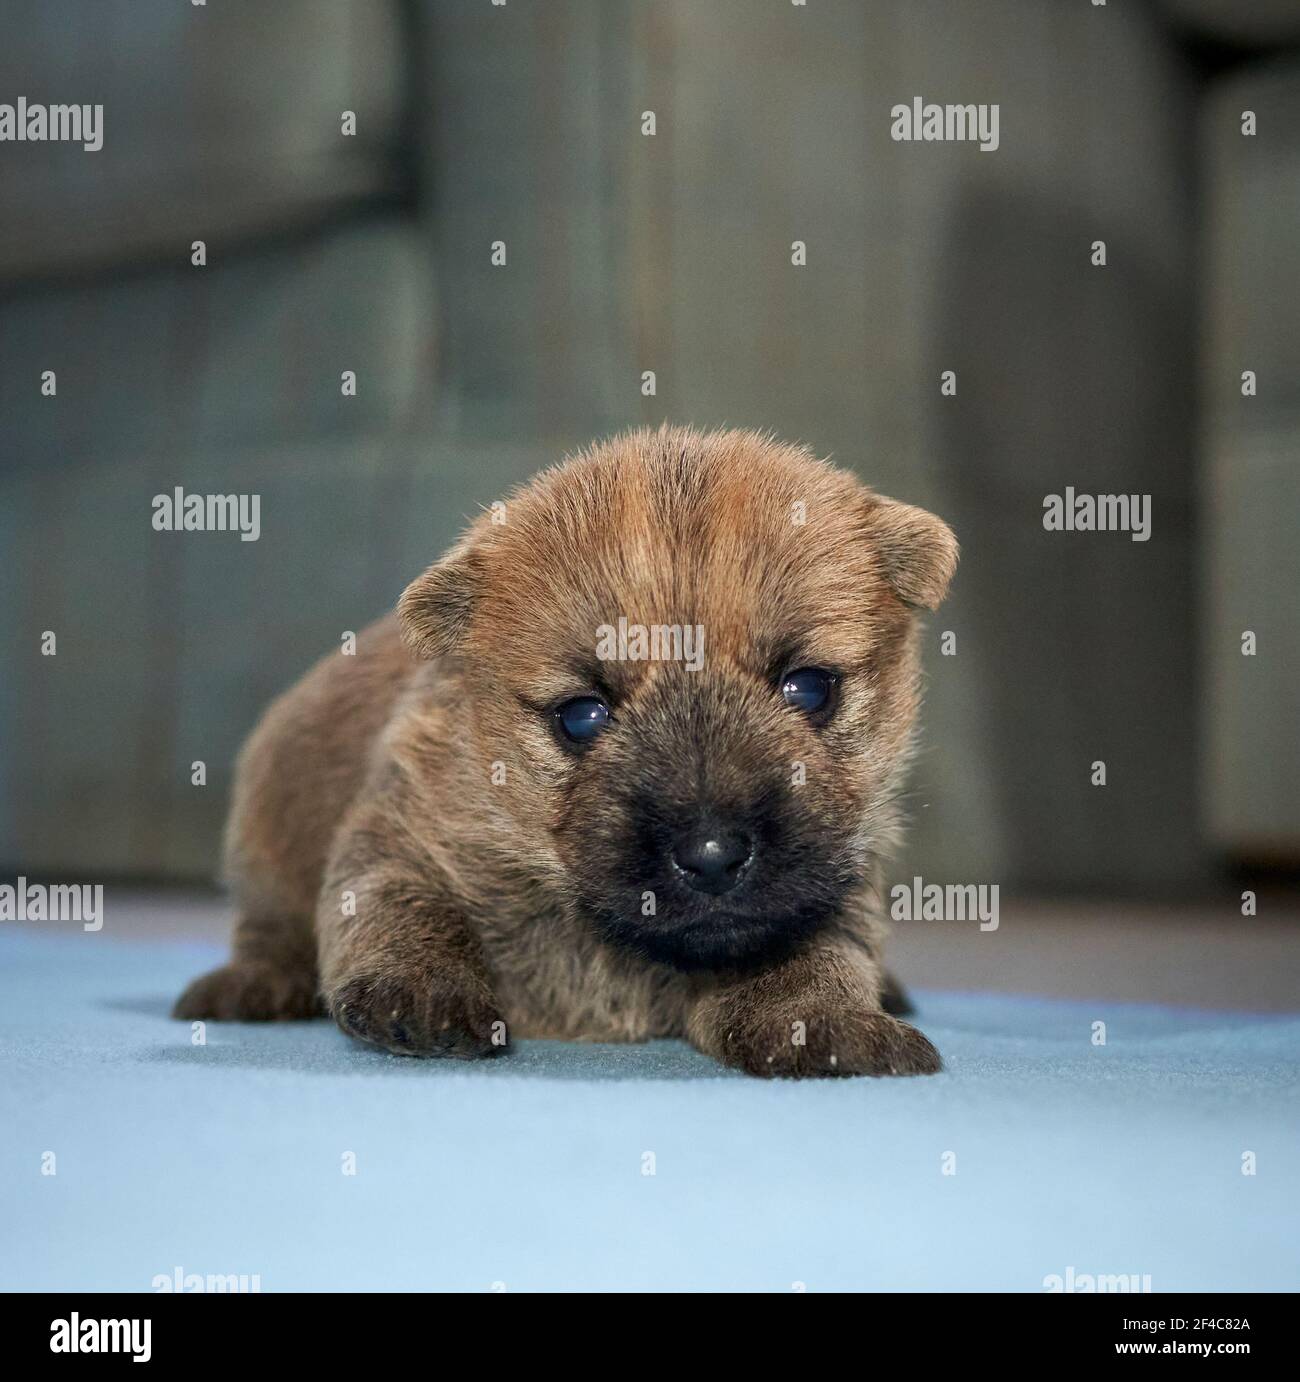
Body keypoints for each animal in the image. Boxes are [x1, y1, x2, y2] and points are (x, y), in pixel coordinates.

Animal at [172, 425, 956, 1072]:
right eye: (581, 716)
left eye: (809, 688)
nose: (712, 855)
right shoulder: (403, 828)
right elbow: (399, 901)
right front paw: (421, 993)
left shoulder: (834, 886)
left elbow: (813, 954)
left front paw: (823, 1022)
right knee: (268, 926)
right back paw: (251, 984)